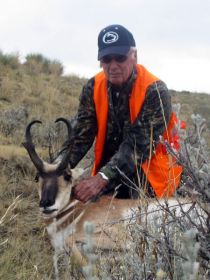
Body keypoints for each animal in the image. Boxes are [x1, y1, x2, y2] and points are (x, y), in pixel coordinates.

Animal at [22, 118, 203, 266]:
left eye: (67, 176)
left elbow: (72, 244)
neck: (77, 210)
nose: (46, 204)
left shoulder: (120, 237)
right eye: (37, 178)